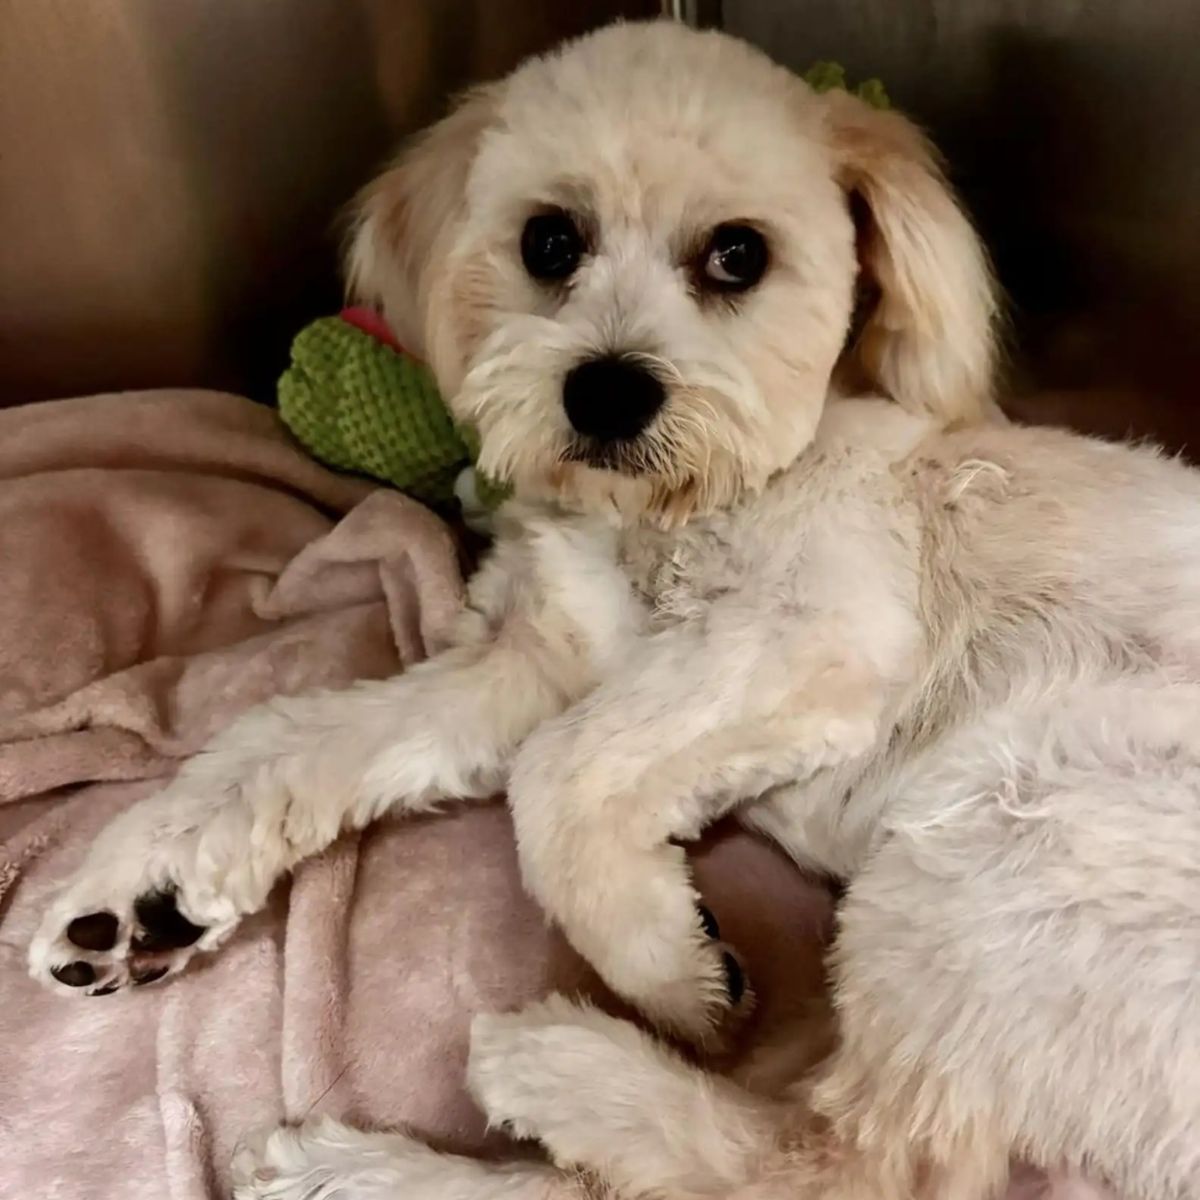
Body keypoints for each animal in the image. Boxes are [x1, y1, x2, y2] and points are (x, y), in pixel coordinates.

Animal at [28, 18, 1200, 1200]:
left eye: (738, 254)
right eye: (550, 241)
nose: (606, 392)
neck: (663, 517)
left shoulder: (809, 633)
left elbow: (551, 776)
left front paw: (669, 969)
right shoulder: (545, 651)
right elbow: (294, 735)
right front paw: (148, 888)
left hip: (1023, 828)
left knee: (835, 1170)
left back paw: (549, 1071)